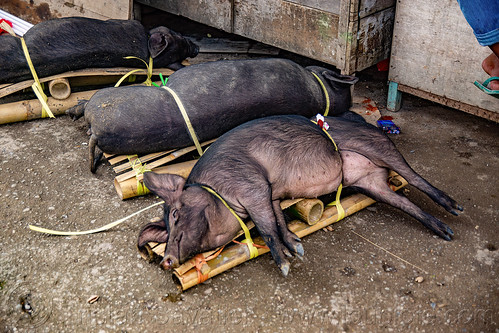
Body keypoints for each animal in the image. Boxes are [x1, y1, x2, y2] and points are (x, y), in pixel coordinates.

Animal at [138, 114, 464, 274]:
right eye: (166, 230)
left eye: (176, 213)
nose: (166, 260)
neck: (217, 192)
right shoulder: (271, 194)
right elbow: (278, 220)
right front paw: (297, 247)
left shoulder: (252, 186)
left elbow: (267, 227)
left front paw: (285, 266)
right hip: (373, 184)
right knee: (404, 201)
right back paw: (445, 232)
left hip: (377, 145)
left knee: (414, 177)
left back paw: (456, 210)